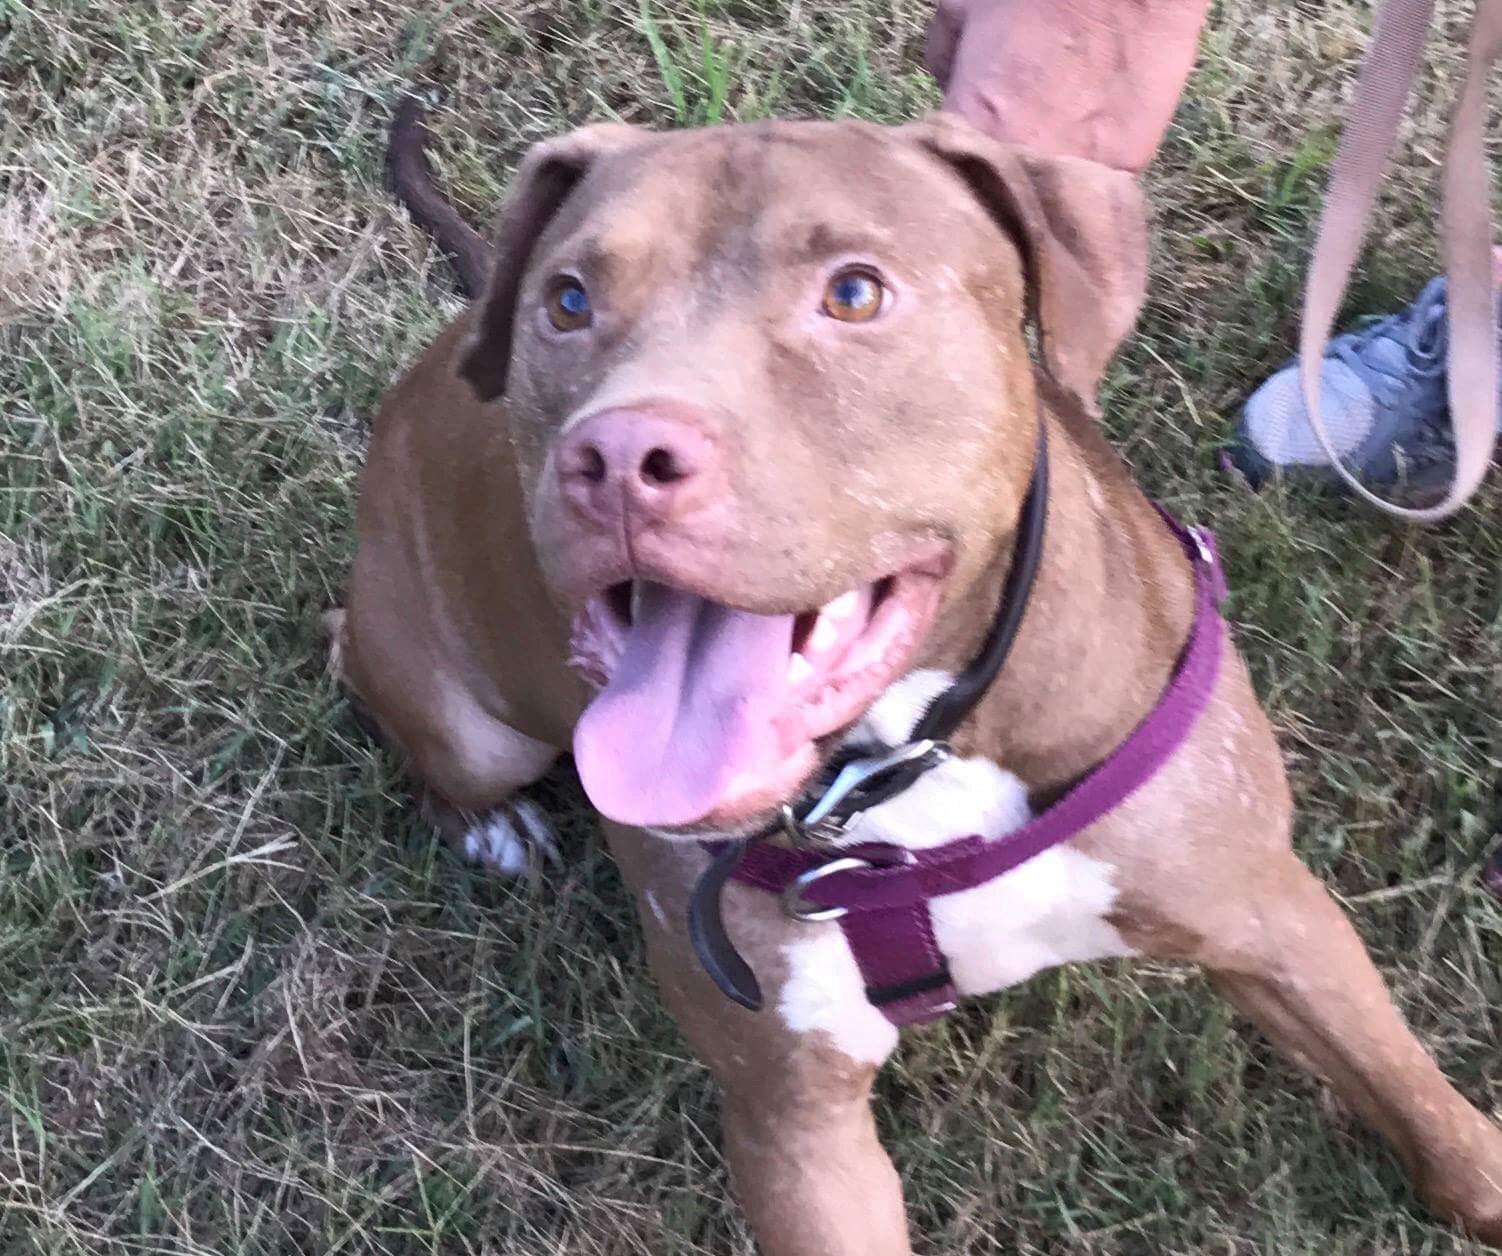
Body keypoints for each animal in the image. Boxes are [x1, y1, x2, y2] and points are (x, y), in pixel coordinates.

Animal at [340, 102, 1502, 1249]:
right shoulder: (796, 1126)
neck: (909, 755)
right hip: (461, 714)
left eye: (854, 292)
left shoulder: (1269, 913)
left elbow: (1414, 1094)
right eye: (570, 300)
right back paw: (493, 826)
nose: (618, 457)